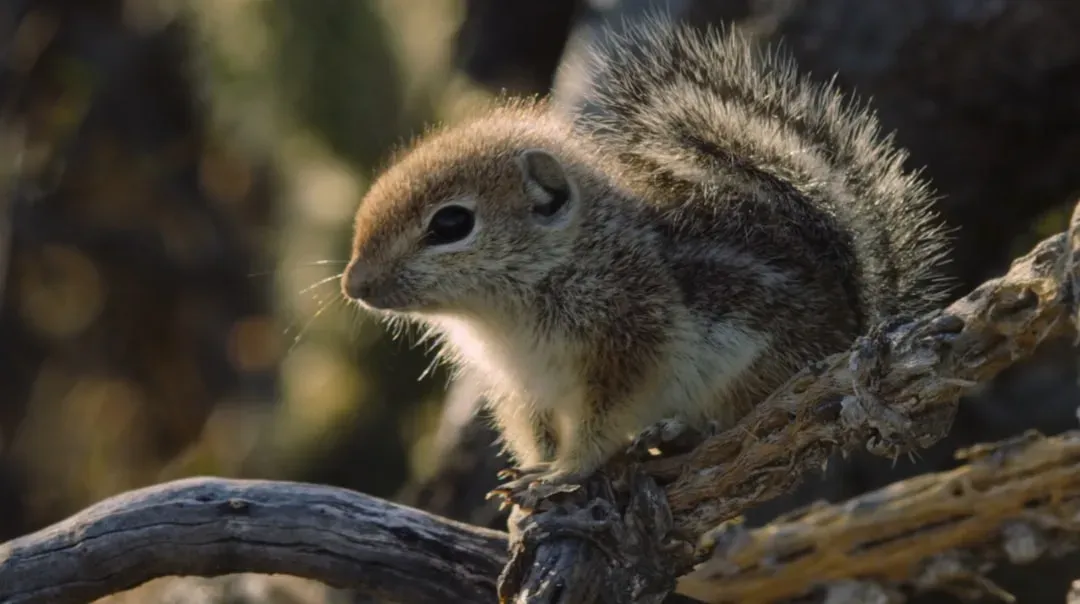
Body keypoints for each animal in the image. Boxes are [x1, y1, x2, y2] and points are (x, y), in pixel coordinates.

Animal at [341, 20, 951, 497]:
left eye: (451, 224)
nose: (354, 285)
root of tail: (854, 322)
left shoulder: (627, 338)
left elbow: (602, 421)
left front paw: (564, 474)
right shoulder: (517, 386)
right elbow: (531, 430)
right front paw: (534, 471)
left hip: (753, 373)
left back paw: (680, 434)